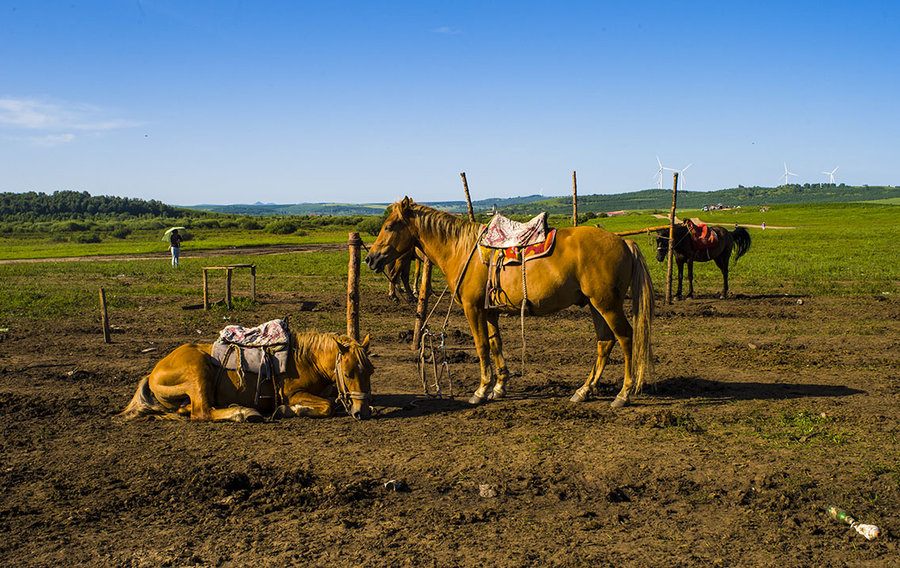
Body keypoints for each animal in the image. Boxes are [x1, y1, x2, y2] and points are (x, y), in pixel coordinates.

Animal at [119, 330, 372, 420]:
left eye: (371, 371)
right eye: (348, 374)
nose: (363, 412)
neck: (307, 359)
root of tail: (153, 373)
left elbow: (333, 401)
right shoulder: (294, 393)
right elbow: (327, 406)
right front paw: (289, 410)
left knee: (189, 409)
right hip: (198, 370)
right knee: (201, 413)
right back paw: (243, 412)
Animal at [366, 199, 652, 408]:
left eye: (389, 226)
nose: (370, 258)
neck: (461, 250)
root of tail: (624, 241)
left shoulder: (472, 308)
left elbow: (481, 346)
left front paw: (481, 390)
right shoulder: (489, 311)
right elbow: (495, 344)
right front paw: (499, 387)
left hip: (607, 305)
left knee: (625, 337)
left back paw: (623, 394)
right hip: (595, 305)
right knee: (605, 342)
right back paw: (584, 390)